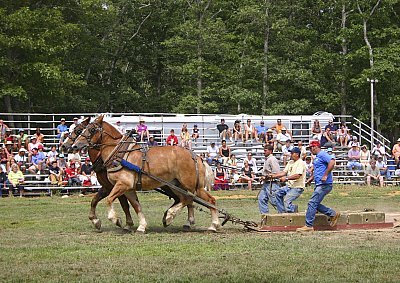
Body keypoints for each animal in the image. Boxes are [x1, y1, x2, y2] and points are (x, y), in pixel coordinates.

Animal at [72, 115, 222, 233]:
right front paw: (141, 226)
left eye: (91, 130)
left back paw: (209, 224)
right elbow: (135, 206)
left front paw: (116, 220)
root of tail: (197, 156)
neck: (119, 153)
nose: (74, 146)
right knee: (187, 200)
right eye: (80, 130)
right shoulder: (128, 189)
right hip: (177, 185)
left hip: (192, 186)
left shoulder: (122, 185)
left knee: (205, 200)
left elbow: (109, 200)